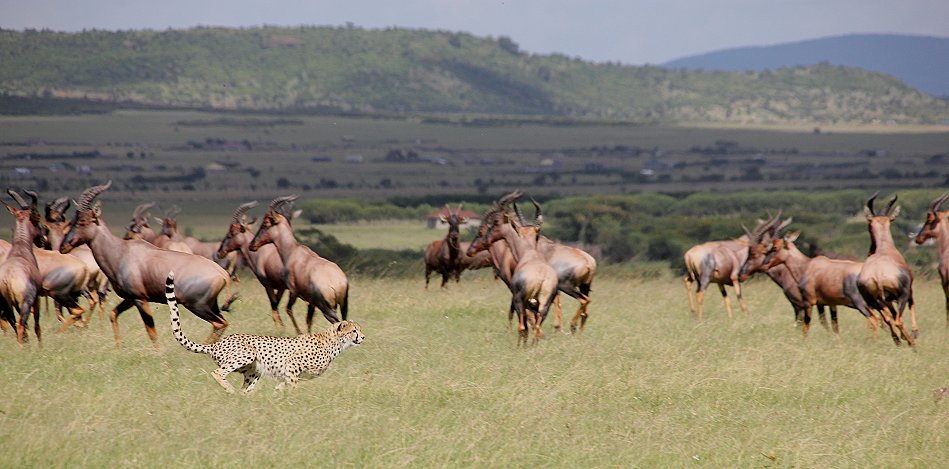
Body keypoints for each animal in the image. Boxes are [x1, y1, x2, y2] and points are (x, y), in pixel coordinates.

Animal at [60, 181, 236, 350]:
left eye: (83, 221)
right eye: (72, 220)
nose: (63, 247)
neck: (121, 251)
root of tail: (221, 273)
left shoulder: (140, 299)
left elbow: (151, 330)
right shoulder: (130, 299)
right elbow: (113, 315)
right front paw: (119, 348)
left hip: (197, 305)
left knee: (219, 323)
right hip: (211, 304)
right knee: (223, 322)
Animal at [165, 270, 362, 392]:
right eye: (354, 331)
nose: (363, 337)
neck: (334, 342)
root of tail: (217, 344)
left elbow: (283, 386)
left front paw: (278, 395)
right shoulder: (292, 366)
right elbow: (293, 387)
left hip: (253, 371)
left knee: (245, 390)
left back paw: (243, 399)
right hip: (247, 354)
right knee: (218, 373)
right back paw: (230, 390)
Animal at [248, 194, 348, 332]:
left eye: (266, 223)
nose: (252, 245)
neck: (293, 251)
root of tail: (338, 283)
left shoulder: (293, 291)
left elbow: (288, 309)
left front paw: (299, 332)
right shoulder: (310, 302)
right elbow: (308, 320)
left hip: (326, 308)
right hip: (343, 306)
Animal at [856, 191, 916, 348]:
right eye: (869, 225)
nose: (870, 251)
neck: (885, 247)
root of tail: (877, 275)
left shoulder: (887, 301)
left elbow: (891, 316)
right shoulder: (909, 291)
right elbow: (912, 306)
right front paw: (915, 333)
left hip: (874, 300)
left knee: (889, 319)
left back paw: (898, 340)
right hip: (901, 295)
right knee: (898, 320)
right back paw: (911, 343)